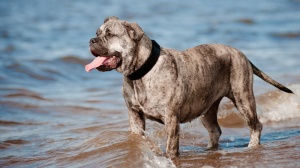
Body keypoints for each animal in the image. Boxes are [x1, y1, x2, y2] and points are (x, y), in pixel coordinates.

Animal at [85, 16, 292, 158]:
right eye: (97, 33)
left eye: (110, 34)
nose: (91, 40)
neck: (140, 73)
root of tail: (240, 53)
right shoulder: (135, 116)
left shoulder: (171, 119)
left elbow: (171, 146)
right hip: (207, 109)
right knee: (215, 130)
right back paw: (209, 150)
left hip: (243, 98)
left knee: (256, 125)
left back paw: (252, 146)